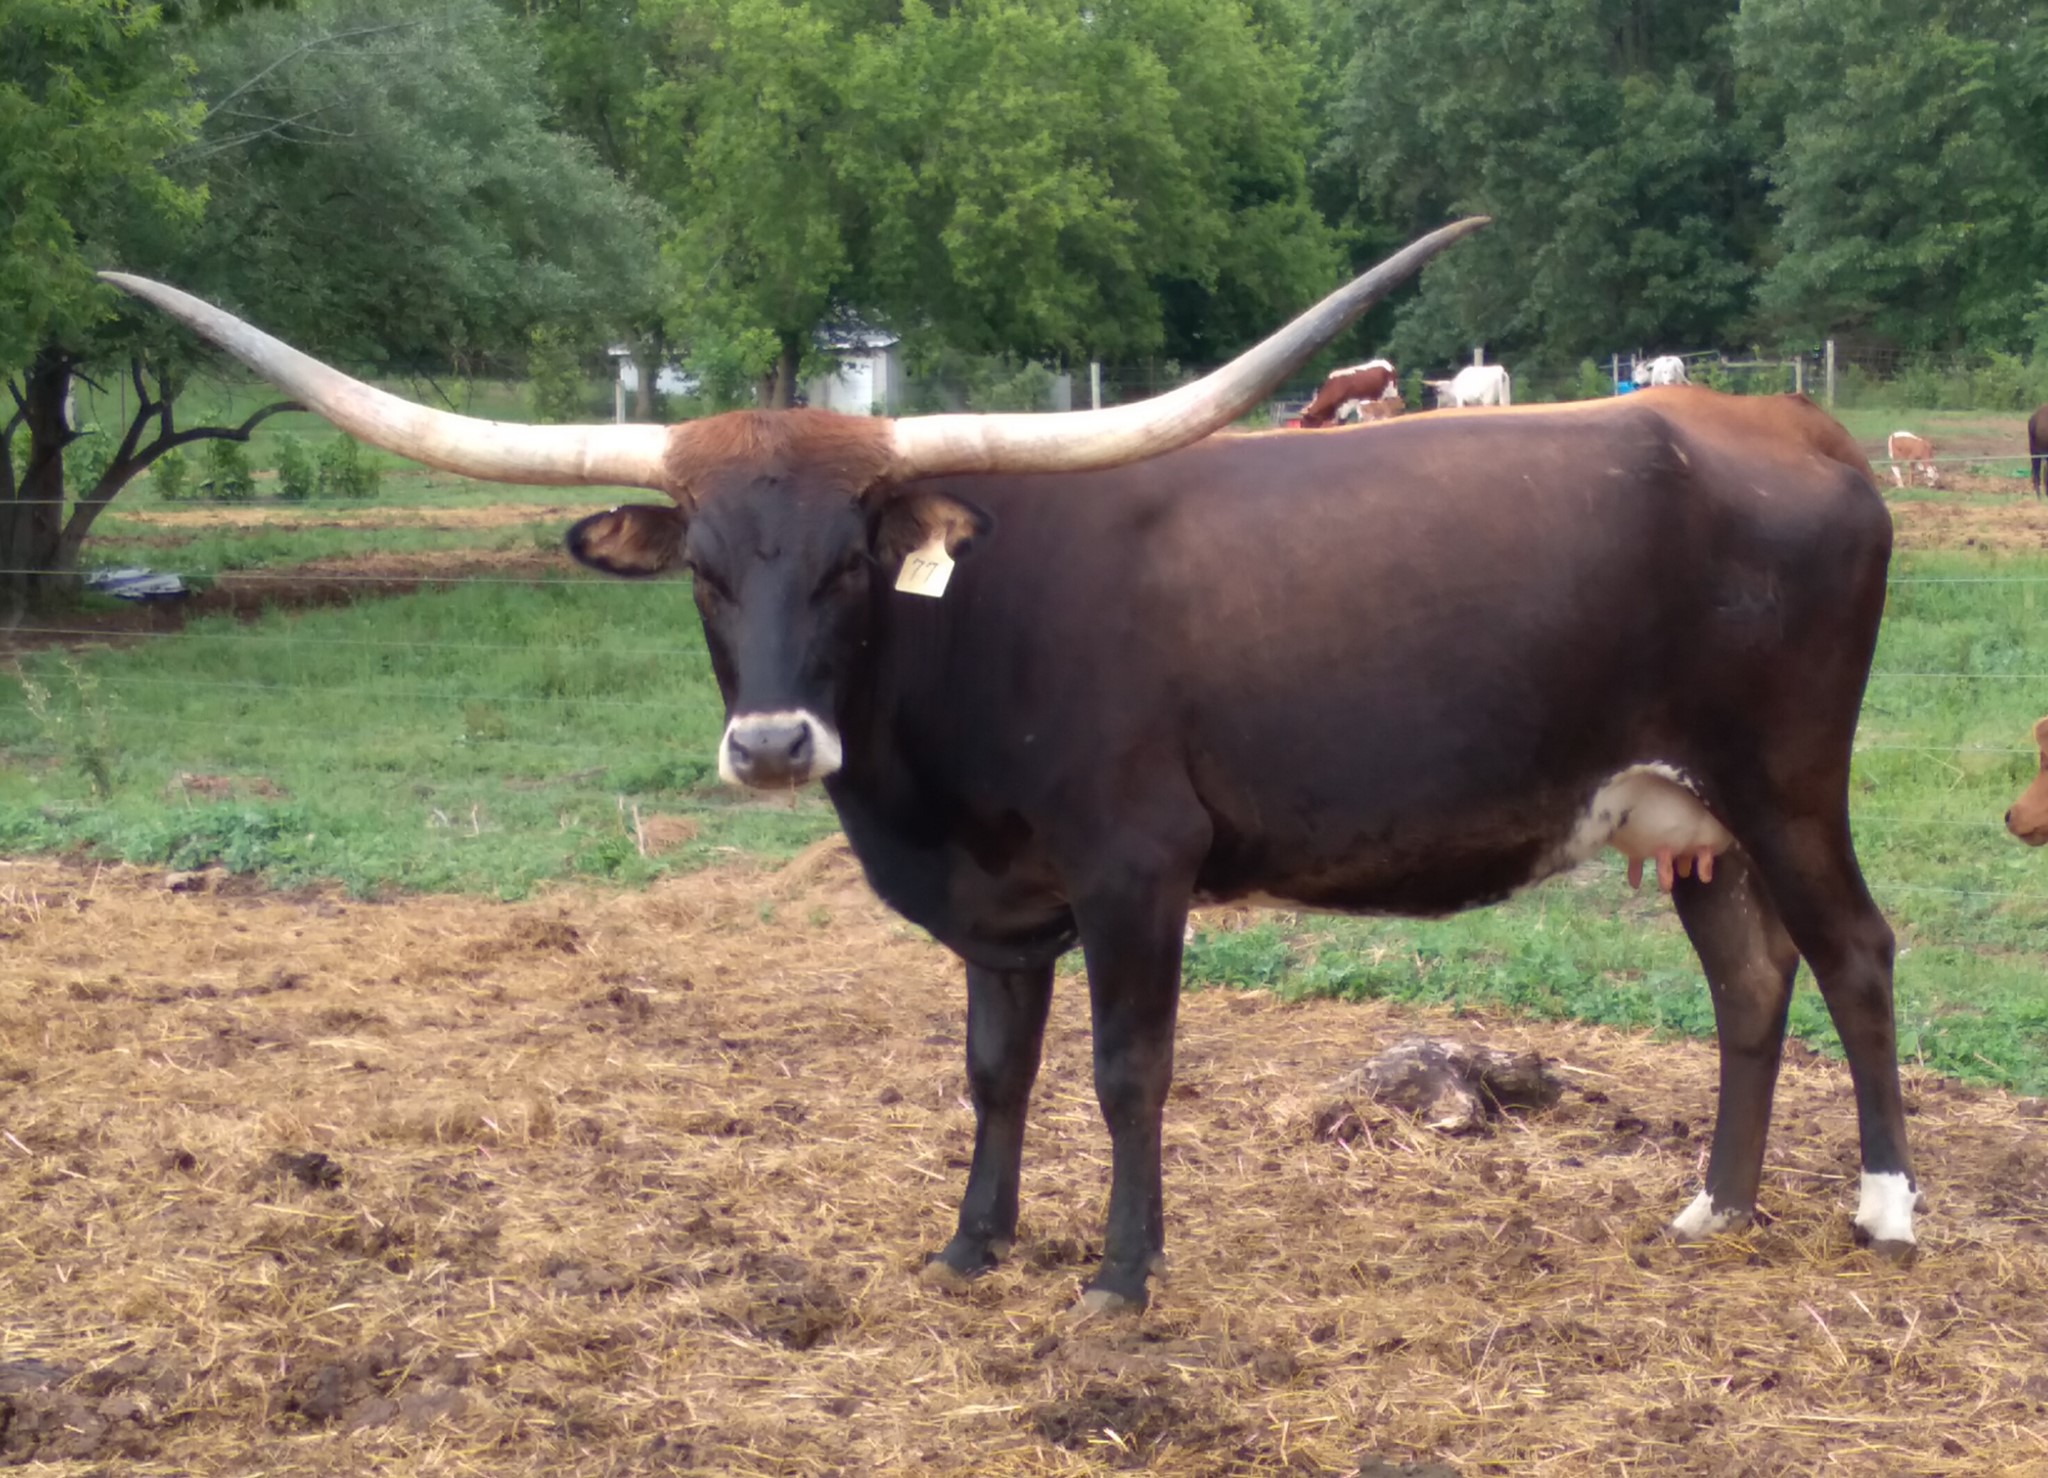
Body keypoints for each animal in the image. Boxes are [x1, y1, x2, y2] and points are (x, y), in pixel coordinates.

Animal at [104, 219, 1921, 1318]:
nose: (773, 742)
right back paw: (1716, 1205)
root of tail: (1783, 421)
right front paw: (974, 1241)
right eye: (706, 569)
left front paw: (1119, 1273)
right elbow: (992, 1071)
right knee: (1750, 977)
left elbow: (1124, 1071)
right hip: (1685, 814)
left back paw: (1884, 1206)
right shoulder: (998, 905)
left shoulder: (1135, 870)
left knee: (1852, 954)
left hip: (1784, 781)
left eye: (851, 560)